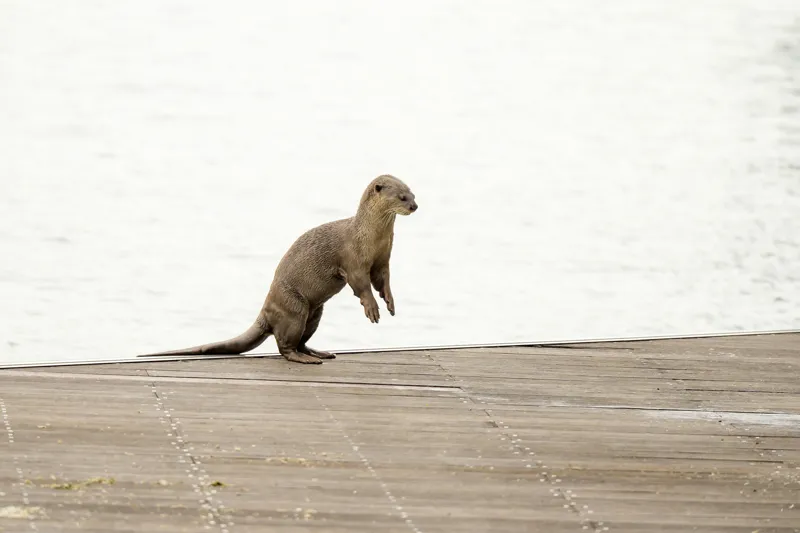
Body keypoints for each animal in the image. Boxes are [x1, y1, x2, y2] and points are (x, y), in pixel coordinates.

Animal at [139, 174, 418, 364]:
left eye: (413, 194)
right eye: (401, 197)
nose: (415, 206)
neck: (370, 237)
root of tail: (266, 311)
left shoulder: (382, 259)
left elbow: (383, 280)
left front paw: (390, 302)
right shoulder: (353, 260)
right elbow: (361, 285)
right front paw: (372, 309)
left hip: (314, 313)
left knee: (301, 340)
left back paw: (318, 353)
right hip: (295, 309)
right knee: (284, 346)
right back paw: (305, 358)